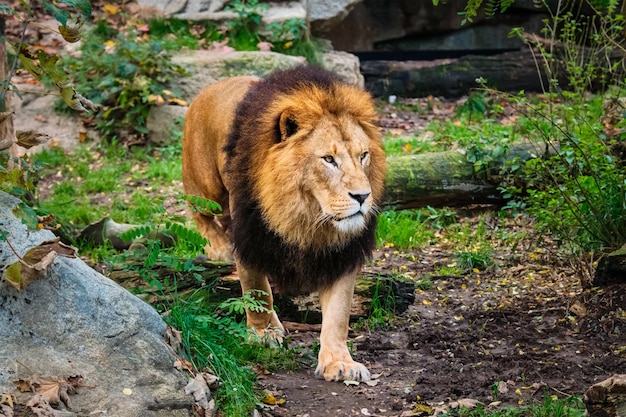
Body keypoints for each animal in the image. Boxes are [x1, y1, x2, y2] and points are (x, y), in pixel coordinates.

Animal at [180, 65, 386, 380]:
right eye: (328, 159)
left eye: (363, 156)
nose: (363, 196)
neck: (307, 215)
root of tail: (211, 87)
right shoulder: (250, 232)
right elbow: (256, 289)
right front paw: (264, 334)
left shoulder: (342, 253)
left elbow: (339, 313)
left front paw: (340, 362)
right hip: (205, 187)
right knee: (197, 211)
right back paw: (219, 247)